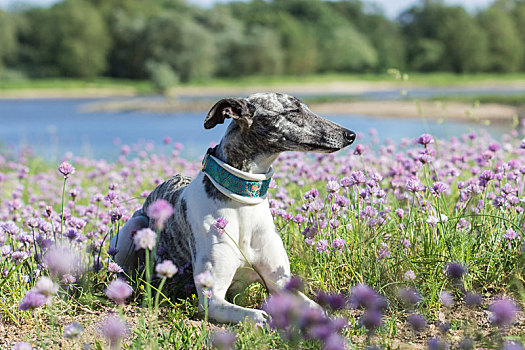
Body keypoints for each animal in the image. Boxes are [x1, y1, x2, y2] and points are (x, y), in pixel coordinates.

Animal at [110, 92, 356, 322]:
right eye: (294, 110)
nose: (351, 135)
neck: (242, 203)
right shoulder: (212, 299)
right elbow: (256, 316)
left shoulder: (279, 282)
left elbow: (315, 308)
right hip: (132, 229)